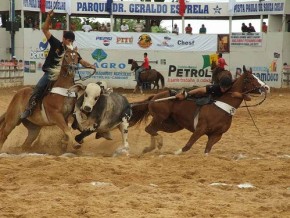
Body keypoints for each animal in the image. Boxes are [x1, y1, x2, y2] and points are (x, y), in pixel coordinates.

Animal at [130, 66, 268, 155]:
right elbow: (187, 146)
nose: (266, 87)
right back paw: (157, 144)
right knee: (149, 129)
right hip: (160, 117)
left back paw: (150, 148)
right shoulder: (200, 129)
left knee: (153, 130)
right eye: (251, 78)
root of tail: (154, 97)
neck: (222, 107)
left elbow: (207, 151)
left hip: (173, 125)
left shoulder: (216, 135)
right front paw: (176, 152)